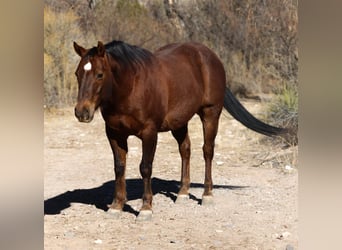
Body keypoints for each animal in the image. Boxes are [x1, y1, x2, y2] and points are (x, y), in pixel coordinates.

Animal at [73, 39, 286, 221]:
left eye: (100, 74)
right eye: (77, 74)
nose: (82, 112)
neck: (131, 86)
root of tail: (210, 55)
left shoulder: (149, 133)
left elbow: (145, 167)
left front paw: (146, 209)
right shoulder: (114, 134)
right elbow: (119, 167)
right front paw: (116, 206)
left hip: (210, 114)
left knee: (207, 151)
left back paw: (207, 195)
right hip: (179, 122)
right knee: (185, 150)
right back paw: (183, 193)